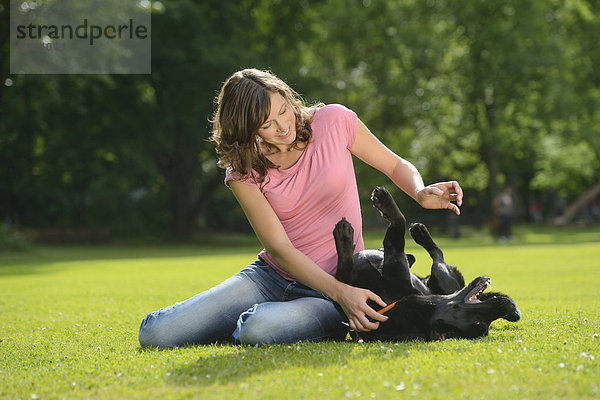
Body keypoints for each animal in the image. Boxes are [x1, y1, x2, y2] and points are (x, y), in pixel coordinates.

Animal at [332, 188, 520, 340]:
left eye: (480, 323)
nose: (509, 306)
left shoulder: (392, 257)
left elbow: (399, 224)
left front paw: (345, 236)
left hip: (441, 274)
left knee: (438, 255)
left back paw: (420, 233)